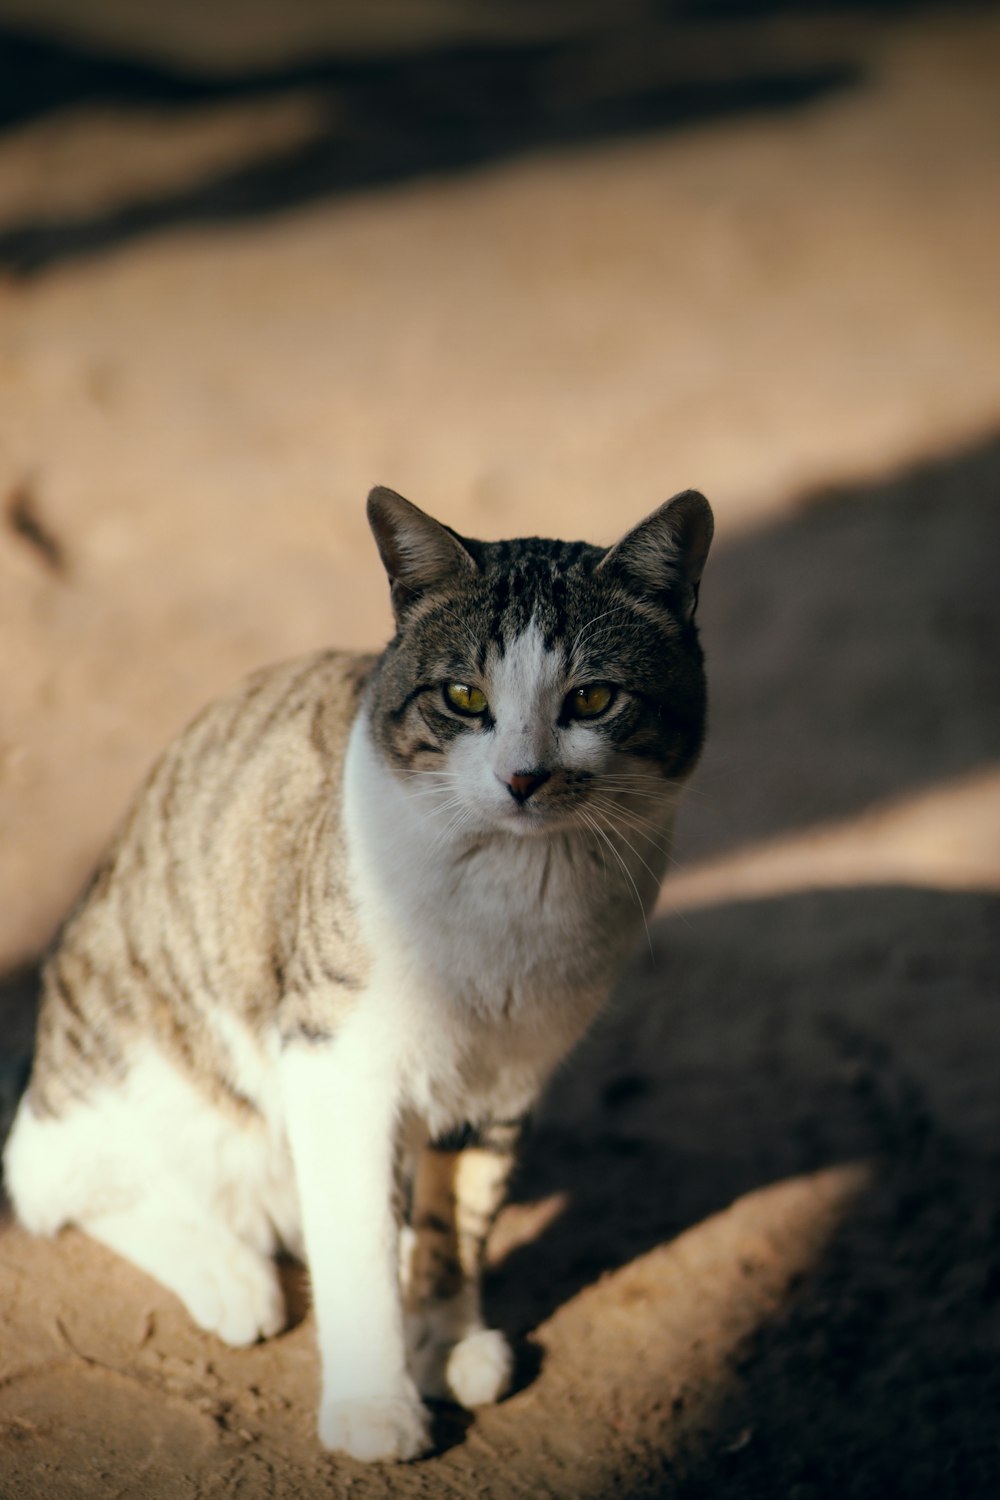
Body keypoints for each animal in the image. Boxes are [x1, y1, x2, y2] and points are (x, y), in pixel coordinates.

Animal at [3, 486, 716, 1458]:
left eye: (594, 698)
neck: (516, 885)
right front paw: (375, 1403)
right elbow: (357, 1244)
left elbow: (465, 1215)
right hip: (145, 1068)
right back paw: (229, 1272)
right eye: (463, 696)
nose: (523, 778)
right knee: (52, 1174)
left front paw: (443, 1335)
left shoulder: (507, 1074)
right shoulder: (337, 1062)